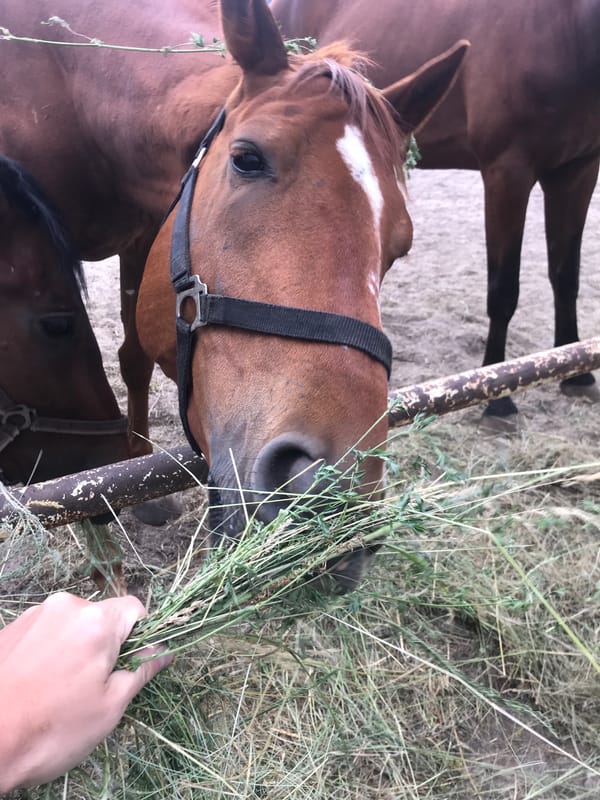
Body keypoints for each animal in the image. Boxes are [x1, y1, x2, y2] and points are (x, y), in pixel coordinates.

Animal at [271, 0, 600, 416]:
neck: (566, 28)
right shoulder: (507, 173)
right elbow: (504, 290)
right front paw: (499, 397)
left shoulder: (578, 171)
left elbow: (566, 275)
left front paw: (576, 373)